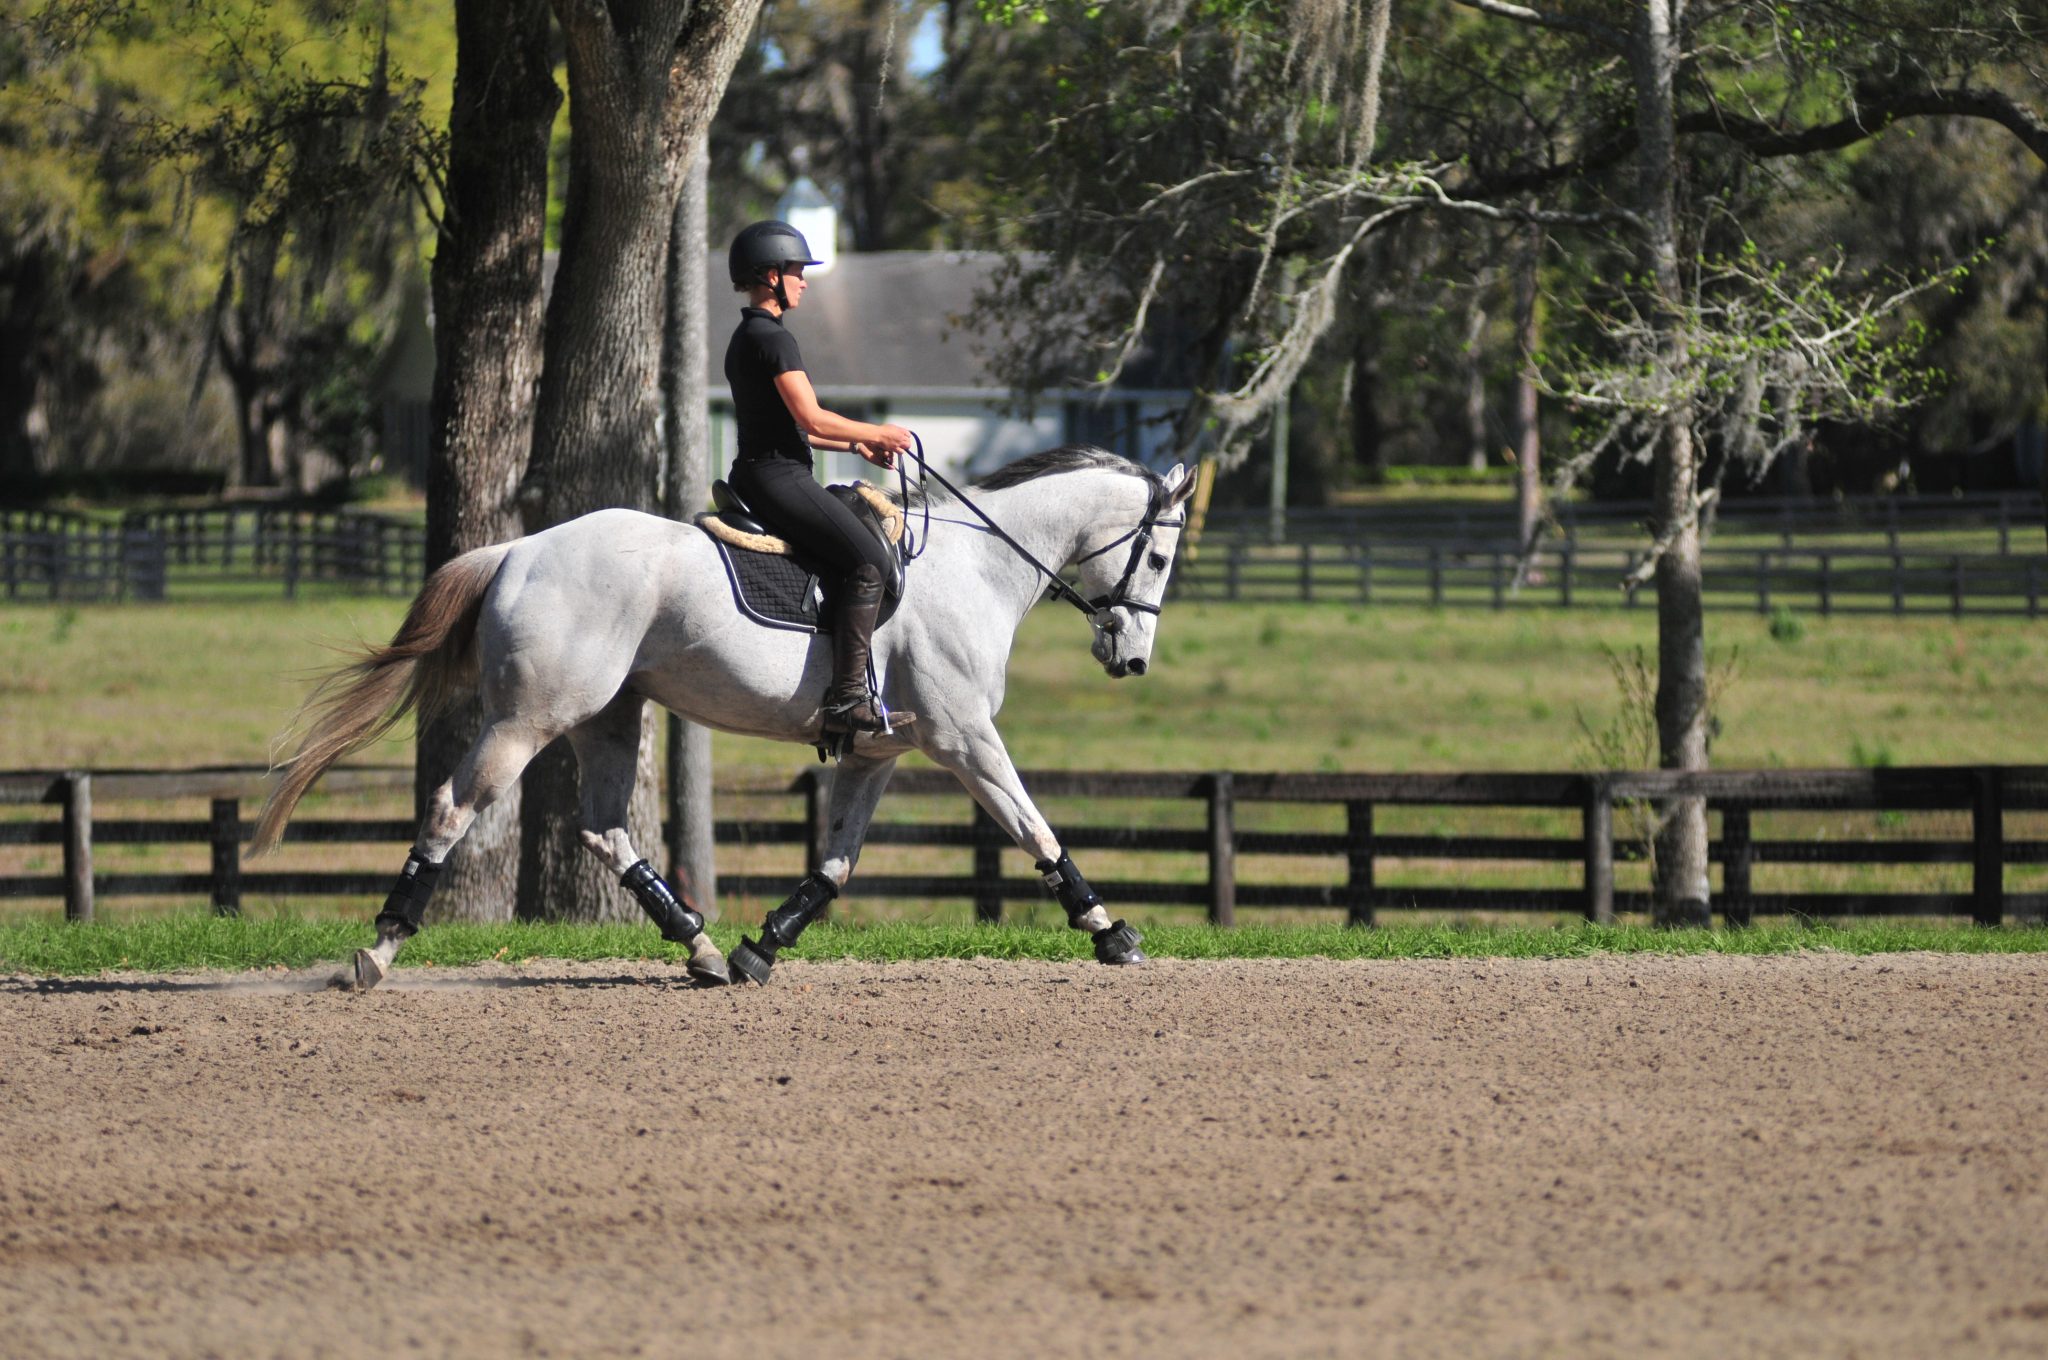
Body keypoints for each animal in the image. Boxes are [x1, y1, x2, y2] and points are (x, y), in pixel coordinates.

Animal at [253, 446, 1199, 990]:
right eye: (1157, 556)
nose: (1133, 660)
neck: (974, 566)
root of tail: (519, 547)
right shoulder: (964, 738)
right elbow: (1037, 830)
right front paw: (1110, 932)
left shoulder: (880, 752)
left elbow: (836, 866)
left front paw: (760, 948)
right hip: (527, 721)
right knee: (453, 810)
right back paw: (380, 948)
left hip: (609, 717)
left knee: (606, 830)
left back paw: (700, 950)